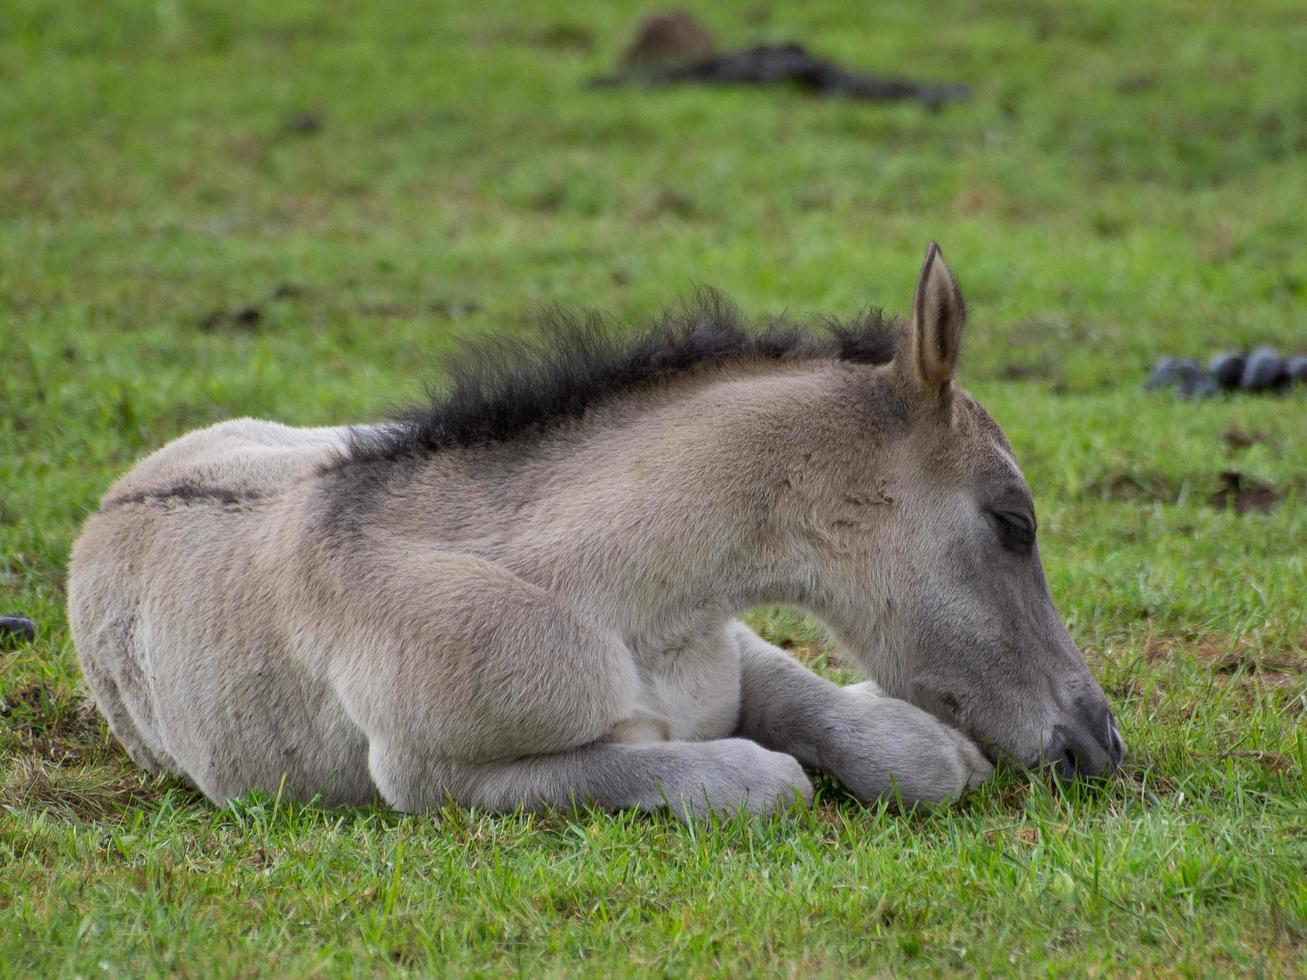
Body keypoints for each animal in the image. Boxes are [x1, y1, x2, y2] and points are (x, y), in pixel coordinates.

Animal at [66, 246, 1118, 820]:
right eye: (1012, 522)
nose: (1096, 743)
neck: (614, 601)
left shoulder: (735, 652)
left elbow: (911, 753)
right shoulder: (434, 779)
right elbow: (753, 778)